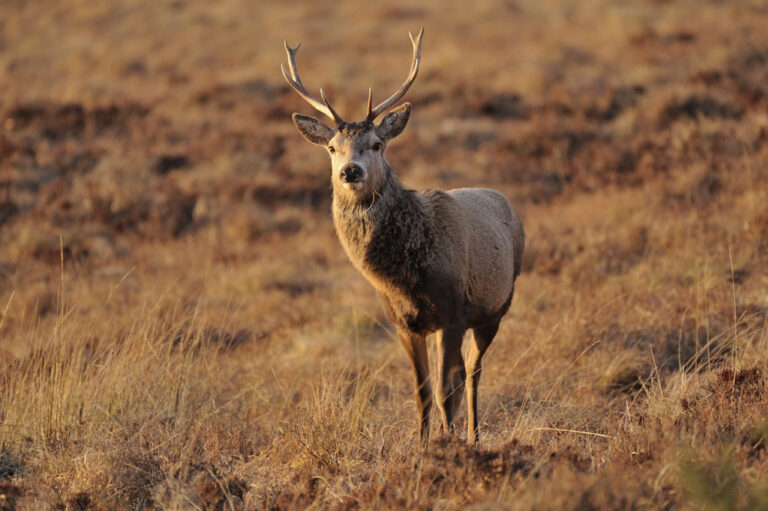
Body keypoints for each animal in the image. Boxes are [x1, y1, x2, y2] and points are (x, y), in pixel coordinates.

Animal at [281, 28, 524, 445]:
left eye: (377, 144)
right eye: (331, 147)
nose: (350, 171)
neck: (405, 278)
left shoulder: (452, 311)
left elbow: (445, 390)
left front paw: (447, 444)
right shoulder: (403, 323)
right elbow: (422, 392)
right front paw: (423, 446)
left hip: (496, 308)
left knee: (472, 374)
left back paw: (474, 436)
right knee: (462, 374)